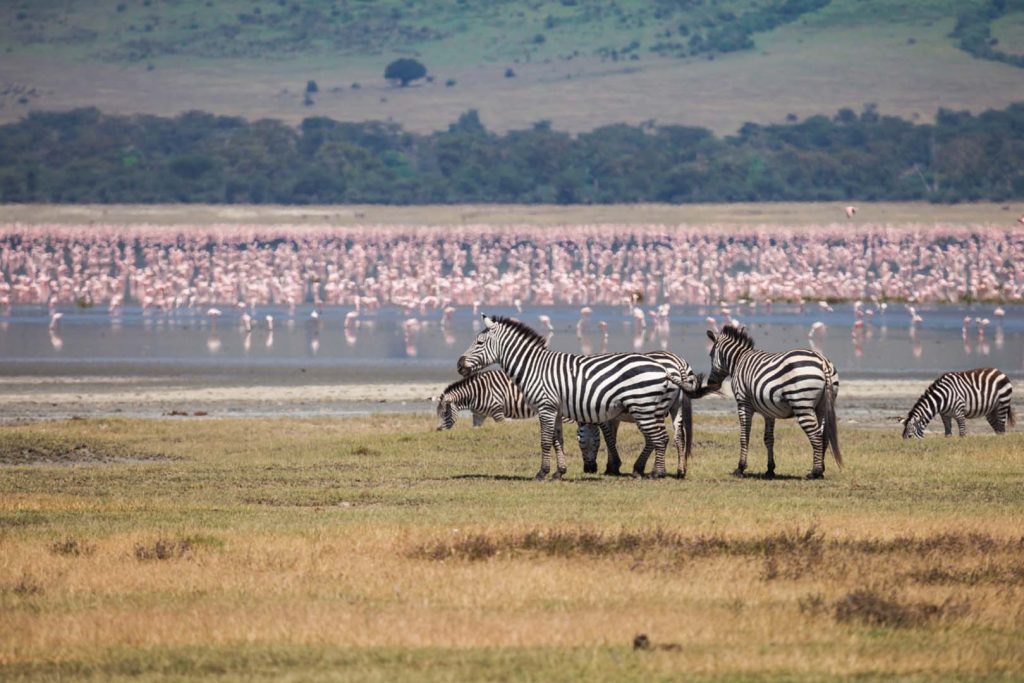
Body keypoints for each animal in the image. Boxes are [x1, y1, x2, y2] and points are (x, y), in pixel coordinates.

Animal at [456, 315, 689, 480]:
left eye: (479, 343)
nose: (459, 365)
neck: (533, 367)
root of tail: (666, 369)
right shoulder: (556, 410)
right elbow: (557, 441)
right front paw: (559, 472)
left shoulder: (545, 407)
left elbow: (544, 441)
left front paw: (542, 473)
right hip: (657, 408)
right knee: (669, 437)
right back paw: (665, 471)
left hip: (644, 406)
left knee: (660, 438)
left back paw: (655, 473)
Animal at [577, 351, 706, 478]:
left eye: (578, 441)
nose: (589, 470)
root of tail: (678, 362)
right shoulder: (613, 418)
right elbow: (613, 437)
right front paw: (612, 466)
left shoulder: (604, 417)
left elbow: (608, 438)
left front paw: (613, 467)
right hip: (675, 406)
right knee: (678, 436)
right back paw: (680, 471)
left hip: (651, 409)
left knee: (656, 438)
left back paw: (648, 469)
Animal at [705, 325, 842, 479]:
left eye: (710, 355)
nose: (710, 384)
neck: (739, 360)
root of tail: (822, 361)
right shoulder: (768, 411)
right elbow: (768, 438)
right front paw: (770, 469)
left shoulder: (743, 403)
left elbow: (744, 436)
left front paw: (740, 468)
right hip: (822, 407)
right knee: (824, 436)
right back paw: (821, 471)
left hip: (802, 405)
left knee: (816, 436)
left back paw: (815, 472)